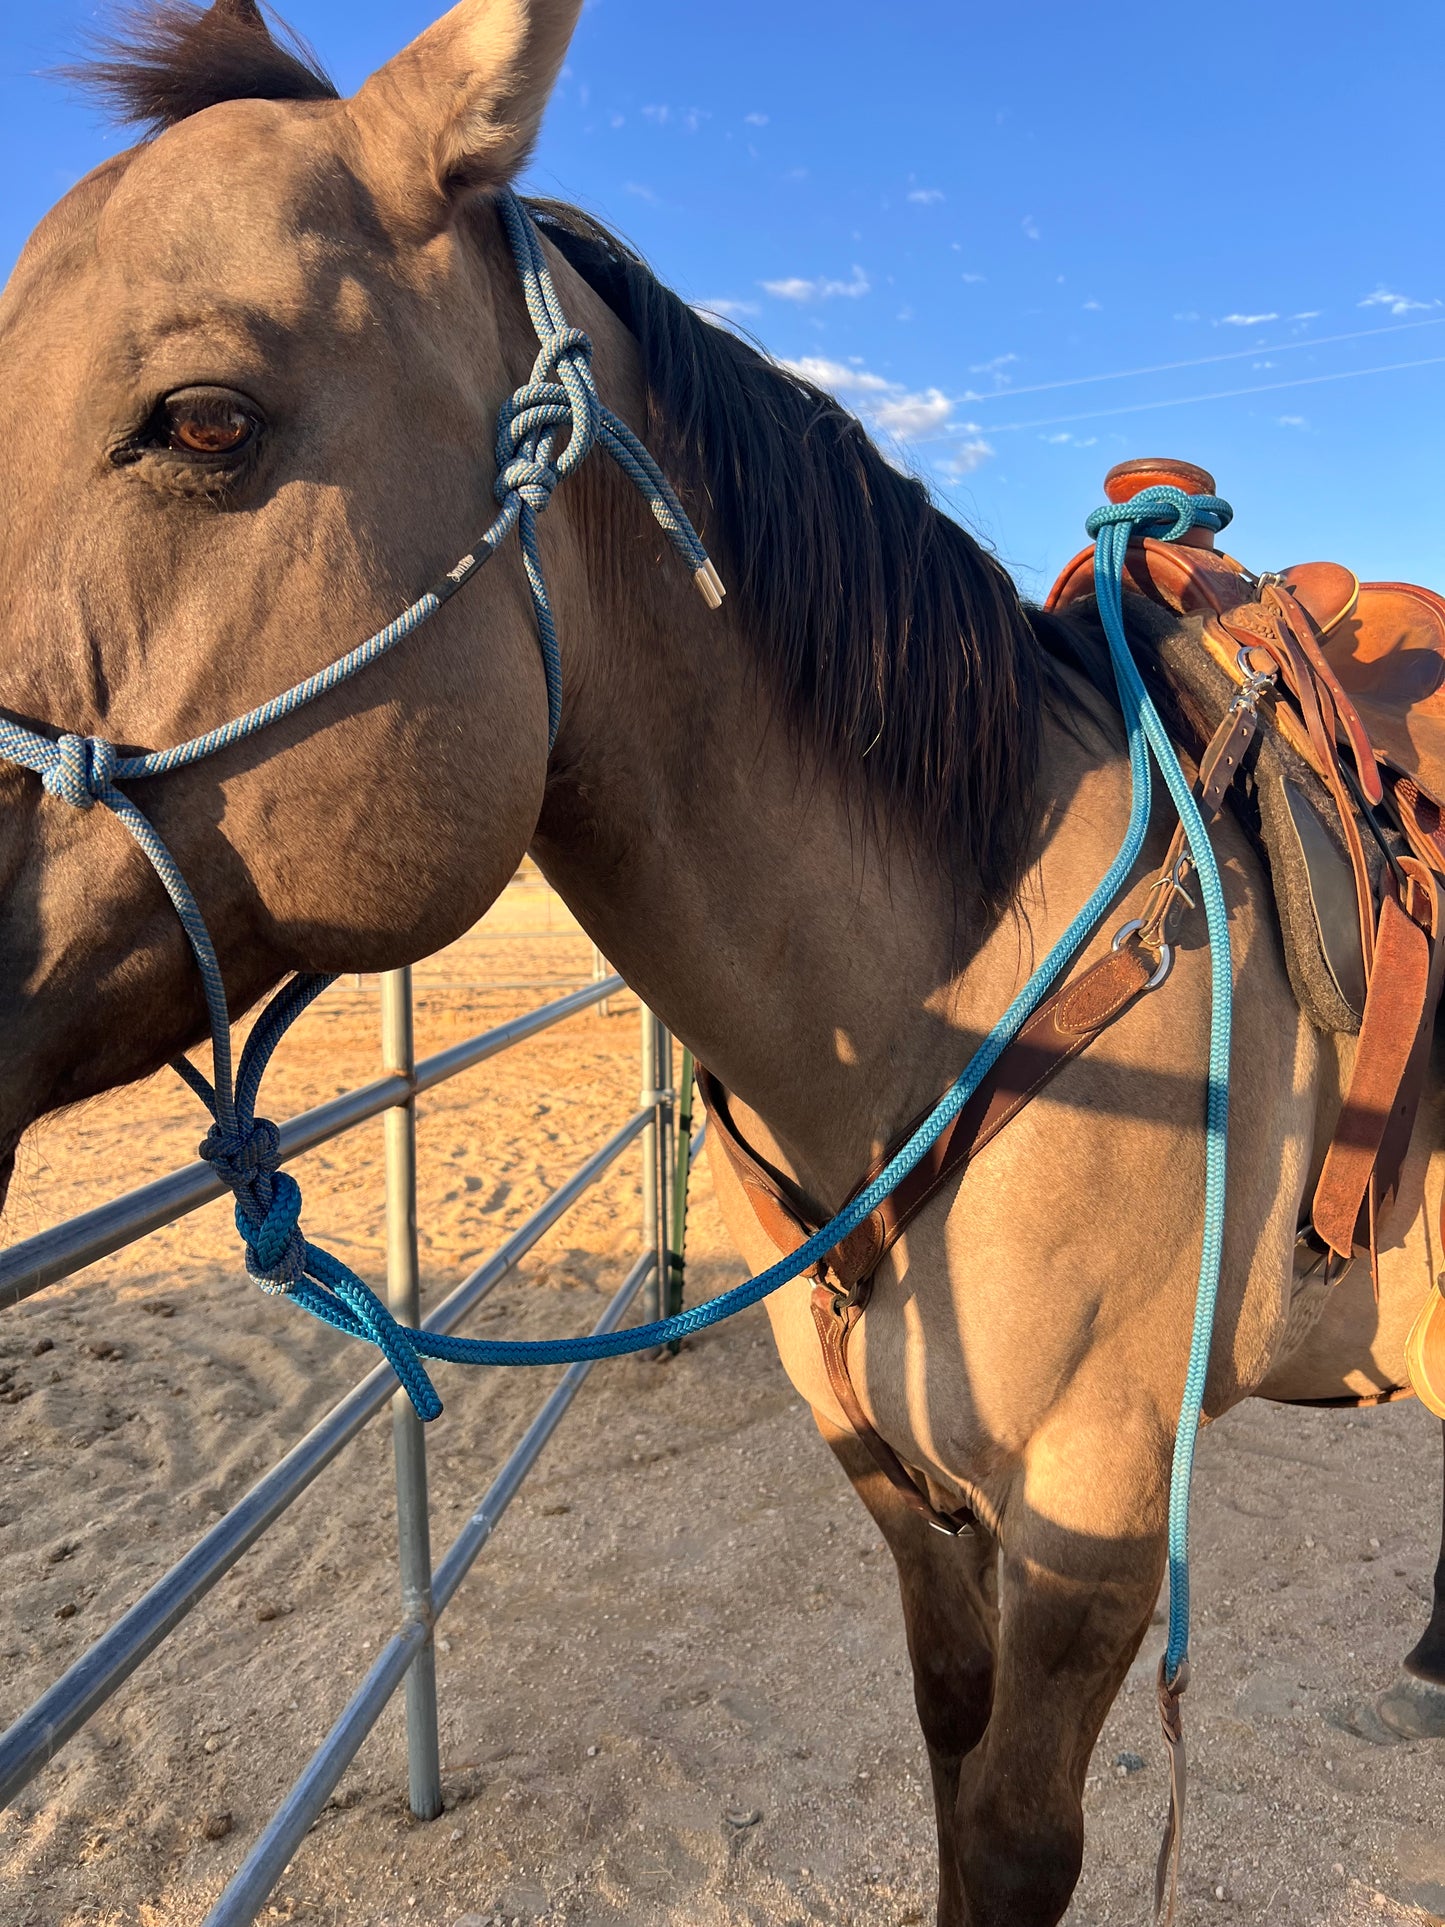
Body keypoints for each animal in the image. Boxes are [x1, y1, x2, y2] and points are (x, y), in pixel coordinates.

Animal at [1, 3, 1442, 1920]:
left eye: (204, 419)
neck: (965, 988)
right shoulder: (905, 1501)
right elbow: (944, 1750)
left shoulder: (1099, 1525)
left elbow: (1014, 1839)